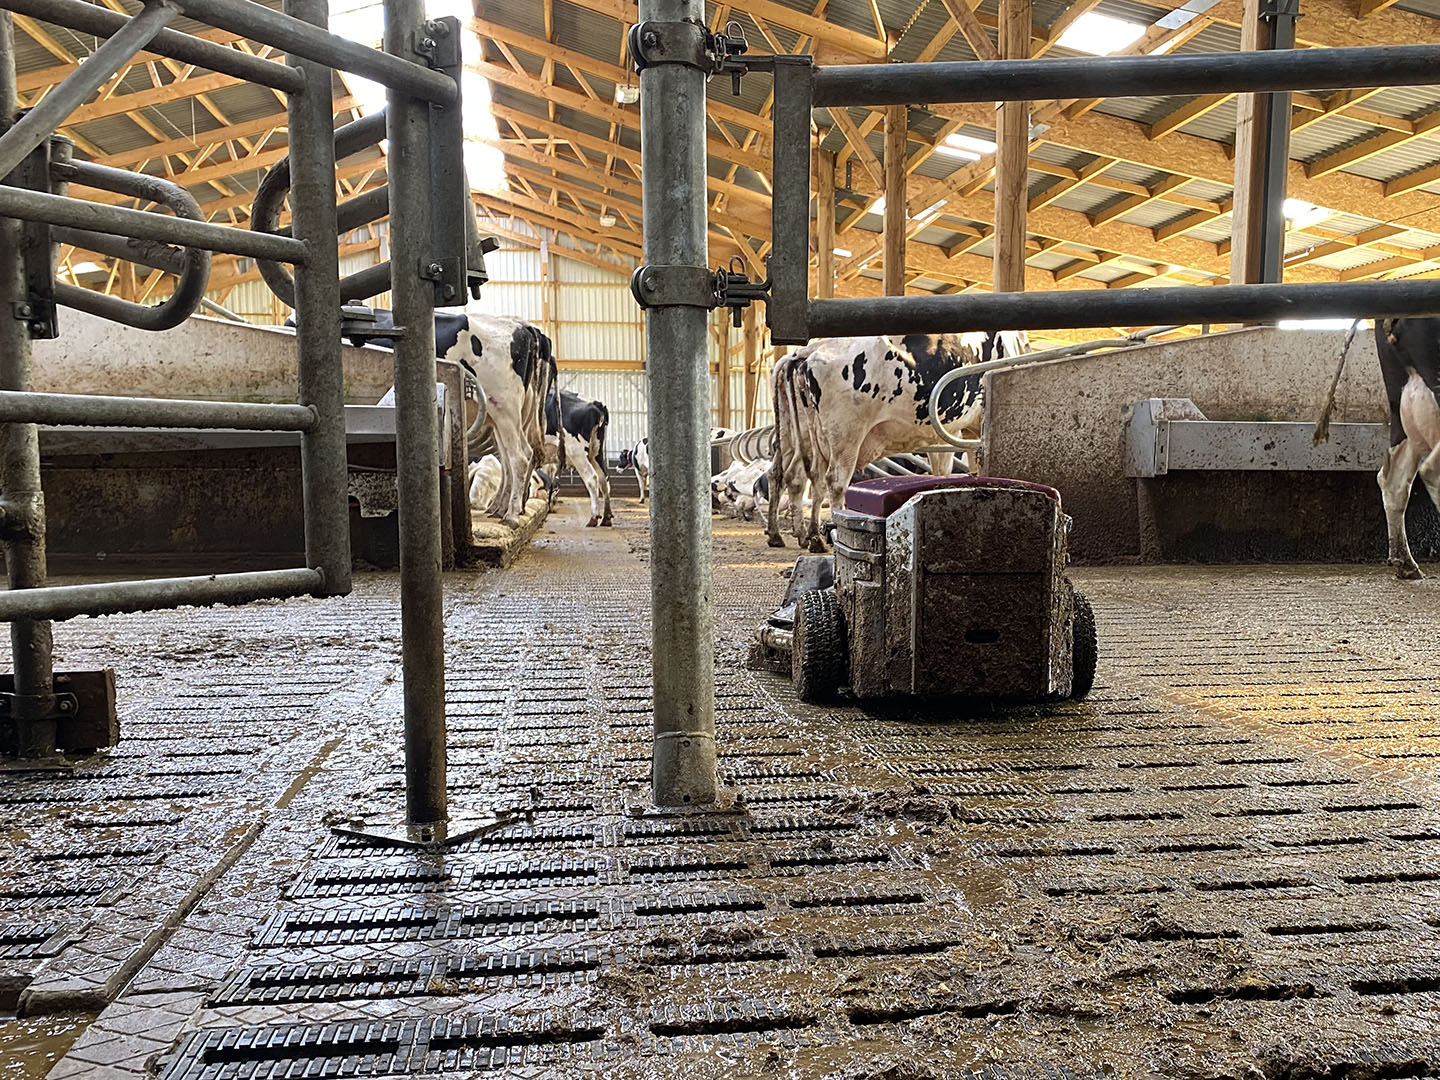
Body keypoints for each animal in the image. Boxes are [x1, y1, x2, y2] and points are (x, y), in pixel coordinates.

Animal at [544, 388, 613, 527]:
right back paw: (606, 518)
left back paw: (593, 517)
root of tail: (596, 404)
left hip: (577, 453)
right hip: (596, 453)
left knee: (592, 478)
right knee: (604, 480)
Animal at [766, 331, 1029, 550]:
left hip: (807, 435)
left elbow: (956, 470)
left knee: (797, 476)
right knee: (834, 481)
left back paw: (800, 537)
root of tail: (810, 352)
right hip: (846, 434)